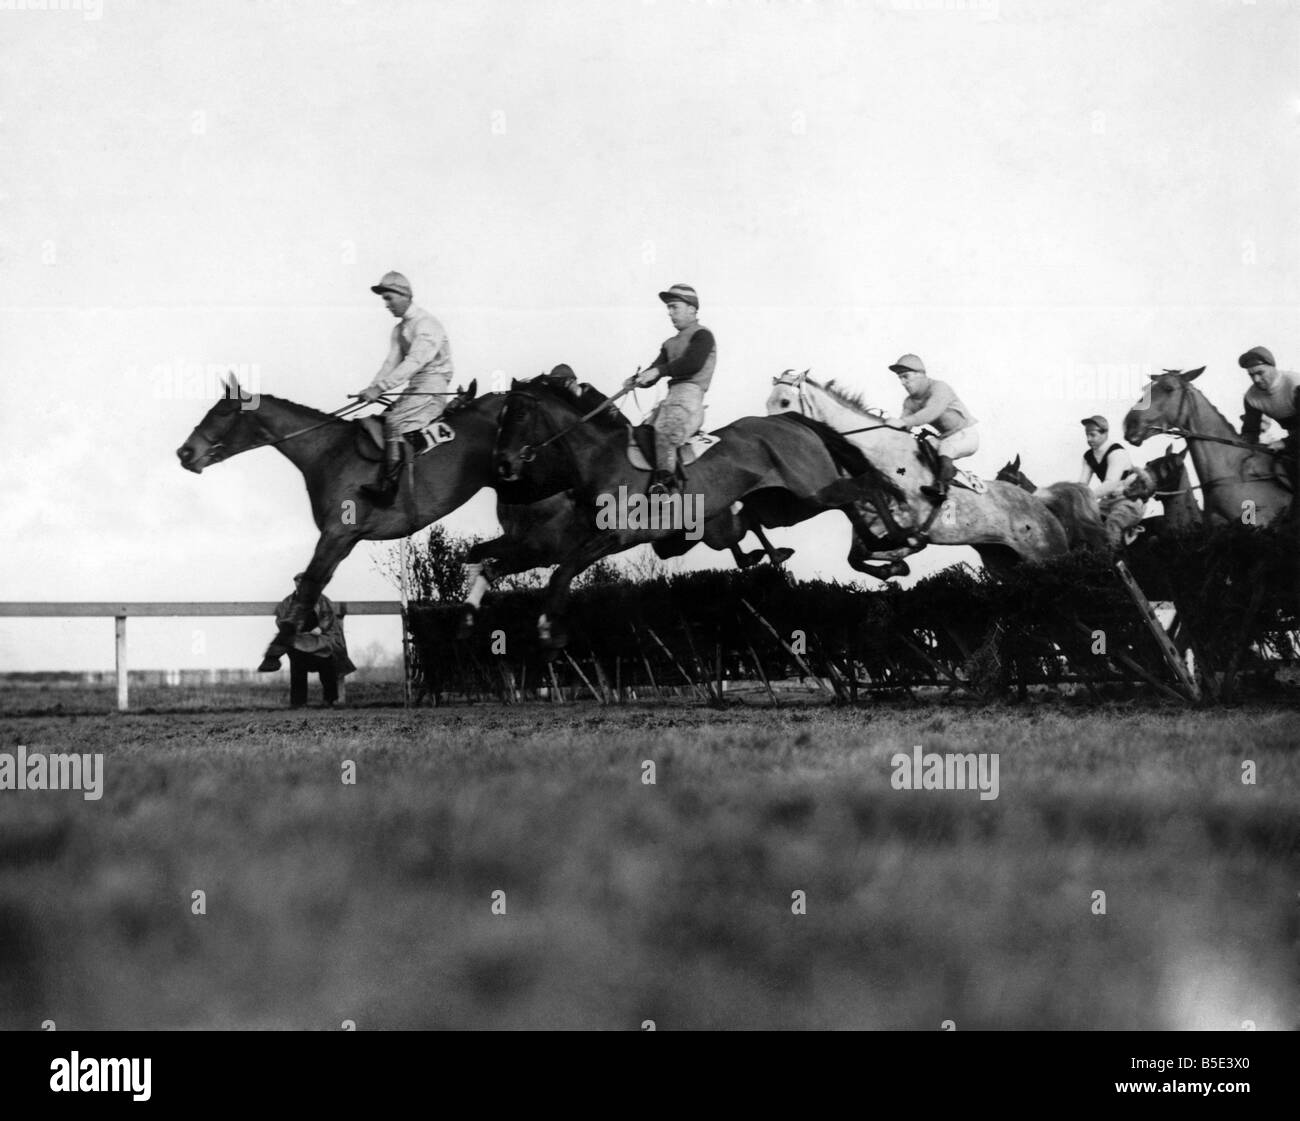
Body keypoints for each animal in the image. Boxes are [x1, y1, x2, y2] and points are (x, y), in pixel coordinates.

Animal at [488, 374, 904, 639]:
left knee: (866, 486)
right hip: (791, 502)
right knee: (851, 501)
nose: (503, 464)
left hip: (809, 490)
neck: (602, 458)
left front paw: (549, 632)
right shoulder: (580, 538)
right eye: (499, 418)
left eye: (519, 414)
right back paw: (881, 556)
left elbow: (562, 573)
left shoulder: (616, 535)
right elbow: (547, 566)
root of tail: (792, 418)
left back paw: (895, 542)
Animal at [764, 371, 1071, 580]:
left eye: (784, 401)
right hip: (1002, 563)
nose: (775, 438)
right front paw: (894, 567)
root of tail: (1044, 507)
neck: (876, 453)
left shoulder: (909, 523)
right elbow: (857, 556)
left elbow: (902, 544)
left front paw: (898, 562)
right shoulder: (873, 528)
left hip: (1044, 556)